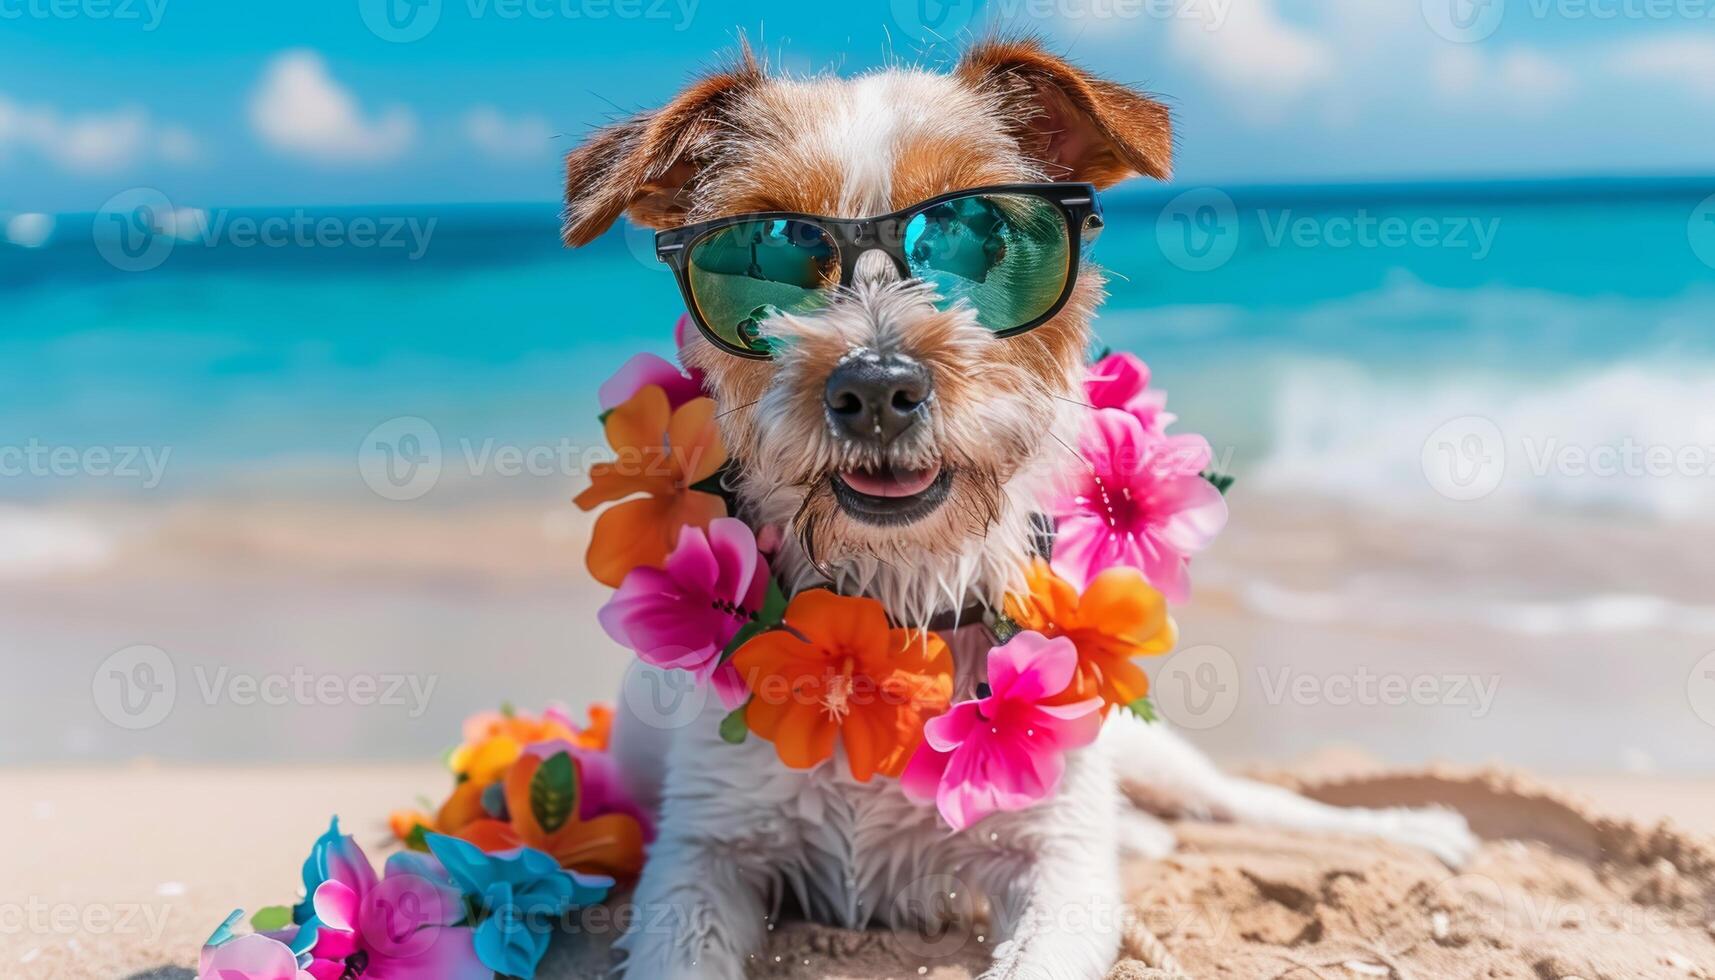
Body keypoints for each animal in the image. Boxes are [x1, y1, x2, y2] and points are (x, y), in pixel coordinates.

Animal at [559, 40, 1474, 980]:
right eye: (767, 249)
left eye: (978, 236)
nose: (876, 387)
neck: (899, 605)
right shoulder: (702, 854)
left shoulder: (1059, 862)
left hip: (1141, 745)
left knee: (1236, 799)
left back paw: (1406, 829)